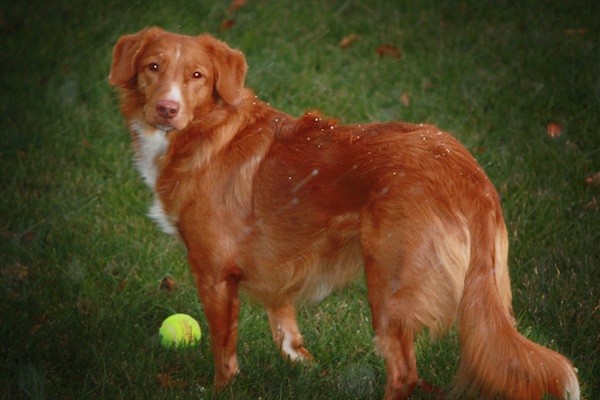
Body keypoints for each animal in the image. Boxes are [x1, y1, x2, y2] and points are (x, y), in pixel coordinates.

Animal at [109, 26, 580, 398]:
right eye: (153, 67)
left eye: (197, 76)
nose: (166, 109)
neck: (208, 132)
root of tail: (466, 173)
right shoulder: (279, 272)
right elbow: (285, 324)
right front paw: (303, 366)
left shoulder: (212, 273)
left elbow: (224, 349)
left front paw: (221, 389)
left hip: (389, 286)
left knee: (404, 373)